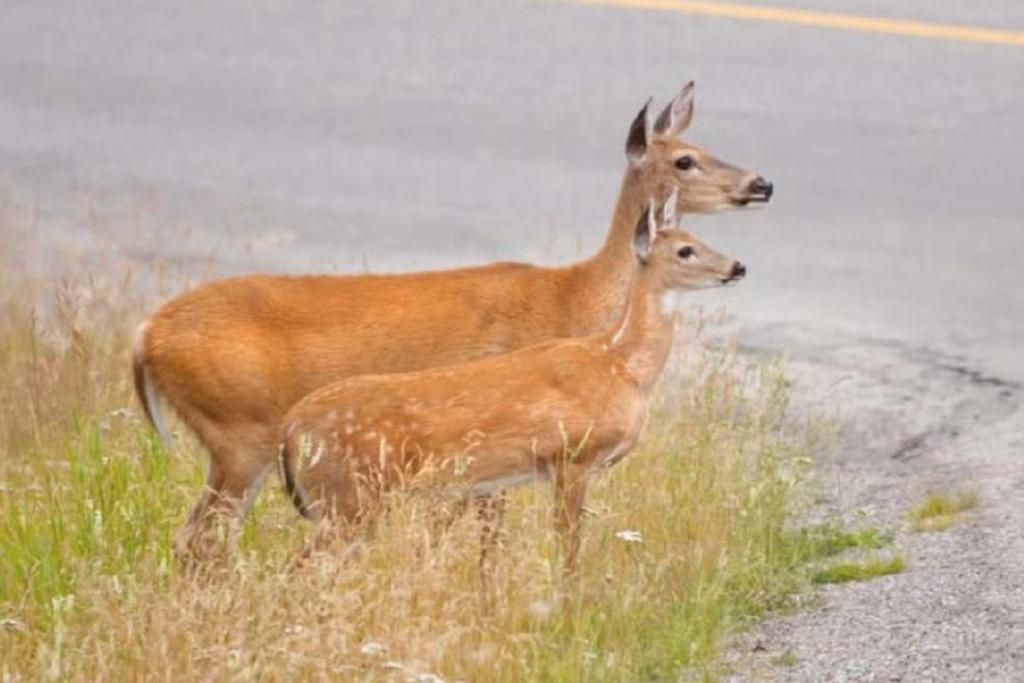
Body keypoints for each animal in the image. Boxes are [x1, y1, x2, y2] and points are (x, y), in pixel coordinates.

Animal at [279, 194, 746, 574]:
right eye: (685, 250)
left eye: (699, 237)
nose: (737, 266)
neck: (622, 364)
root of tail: (291, 427)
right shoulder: (572, 455)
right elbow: (568, 547)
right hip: (347, 497)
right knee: (297, 566)